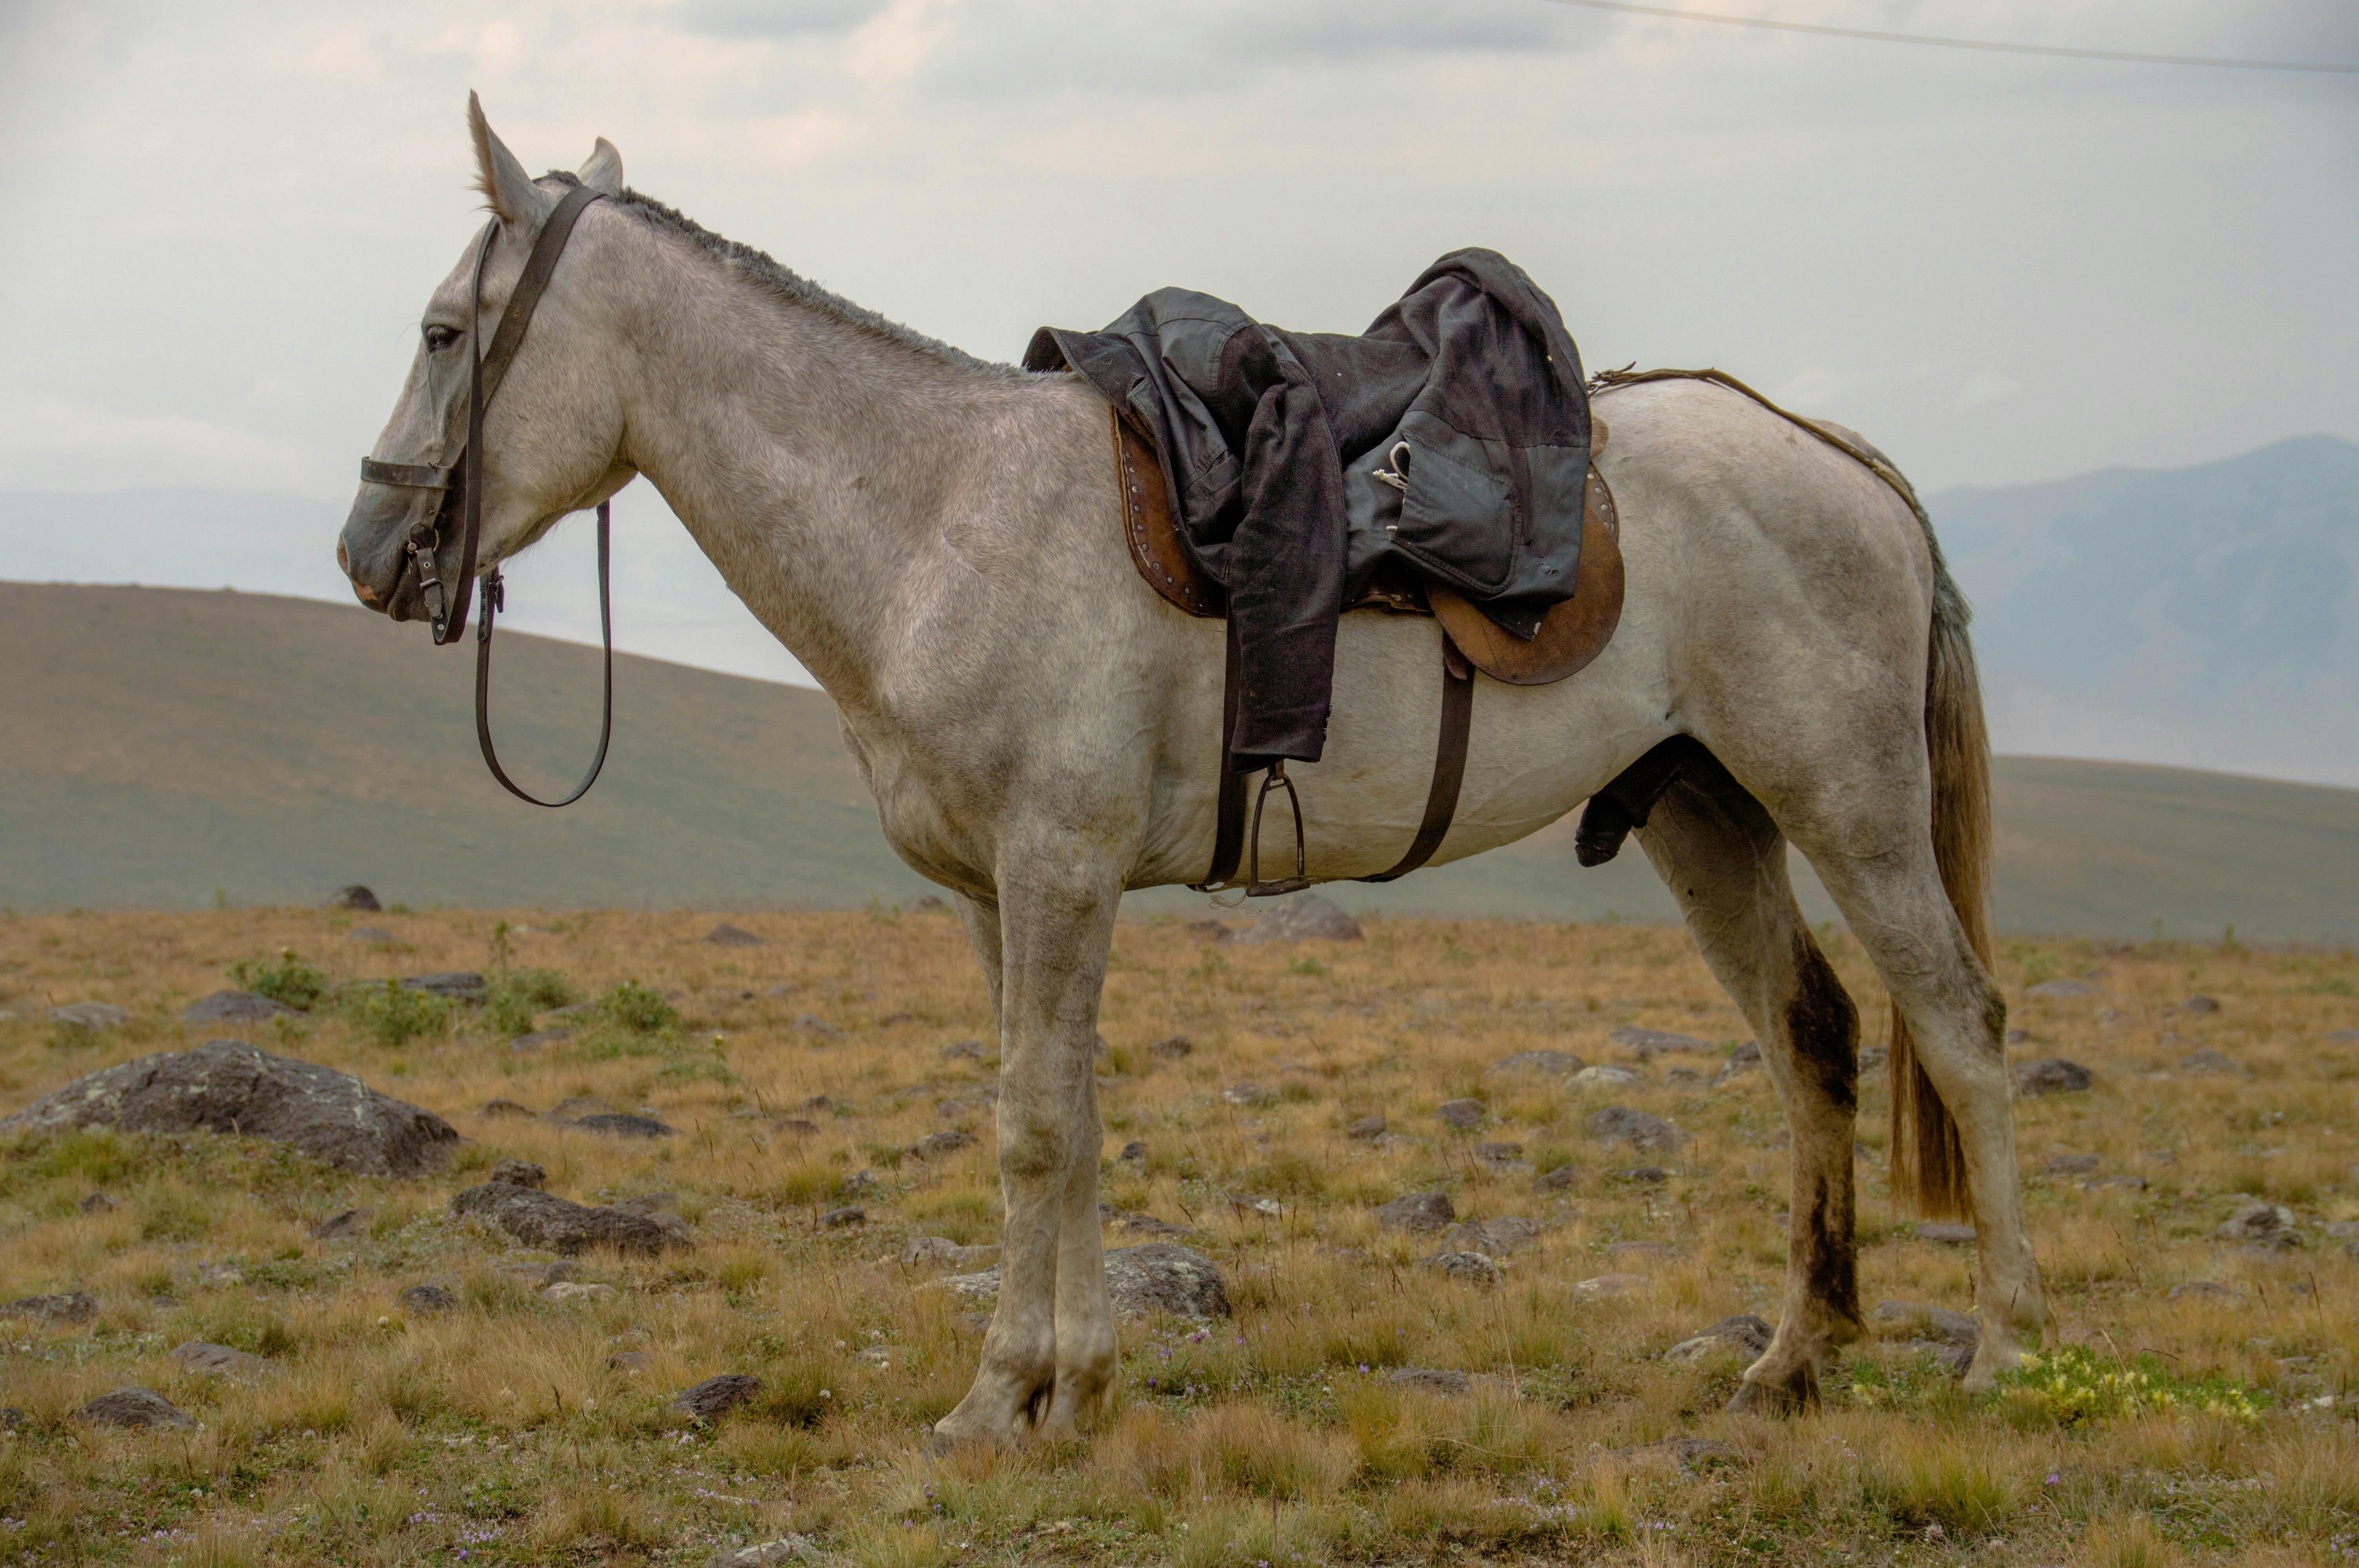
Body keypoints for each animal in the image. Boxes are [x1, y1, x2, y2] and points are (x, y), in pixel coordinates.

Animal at [337, 101, 2047, 1443]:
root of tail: (1841, 458)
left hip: (1849, 809)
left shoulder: (1058, 865)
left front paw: (996, 1395)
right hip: (1704, 811)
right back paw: (1790, 1362)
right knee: (1808, 1039)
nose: (365, 550)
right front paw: (1075, 1384)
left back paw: (2009, 1349)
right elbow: (1063, 1112)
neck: (934, 516)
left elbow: (1032, 1124)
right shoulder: (999, 891)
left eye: (441, 332)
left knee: (1957, 1027)